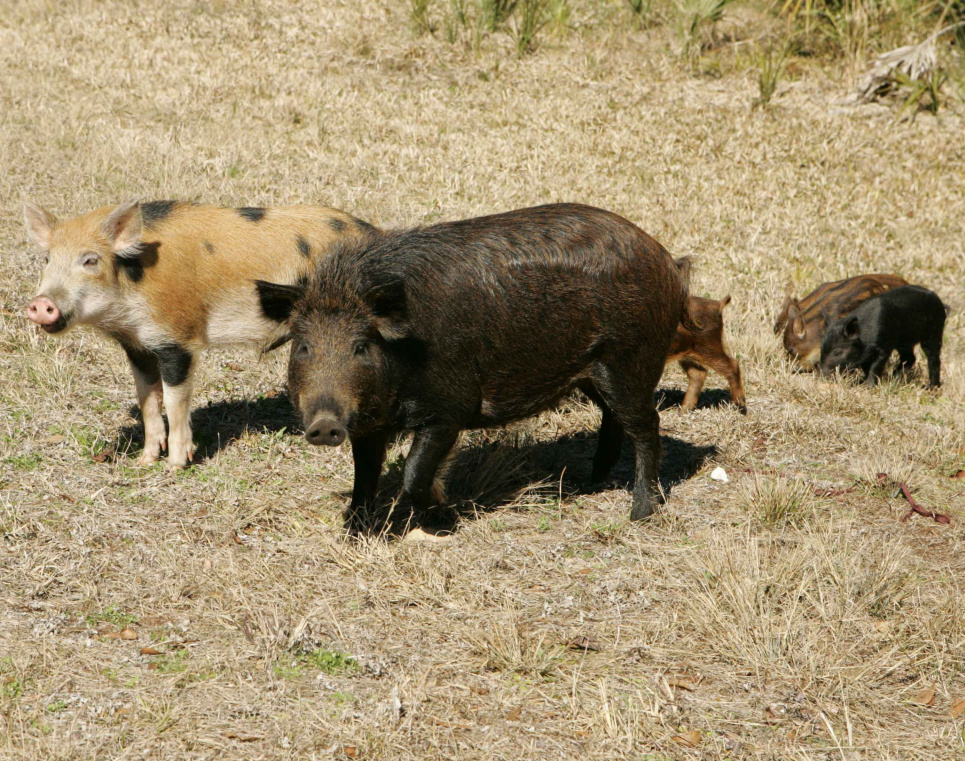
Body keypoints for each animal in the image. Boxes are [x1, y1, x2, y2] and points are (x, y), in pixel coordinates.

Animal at [260, 205, 688, 532]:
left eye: (361, 346)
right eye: (303, 346)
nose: (324, 425)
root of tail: (666, 260)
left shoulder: (450, 409)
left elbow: (414, 473)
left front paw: (443, 519)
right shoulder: (369, 424)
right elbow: (364, 474)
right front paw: (354, 530)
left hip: (630, 360)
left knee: (647, 425)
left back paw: (639, 514)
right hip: (592, 373)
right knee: (613, 418)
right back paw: (593, 479)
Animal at [816, 288, 944, 388]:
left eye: (837, 353)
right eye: (821, 349)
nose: (822, 374)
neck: (865, 338)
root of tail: (940, 302)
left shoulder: (884, 346)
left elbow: (876, 366)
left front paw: (868, 386)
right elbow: (866, 367)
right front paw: (861, 382)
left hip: (934, 332)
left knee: (933, 358)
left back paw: (930, 387)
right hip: (904, 342)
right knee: (910, 357)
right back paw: (895, 378)